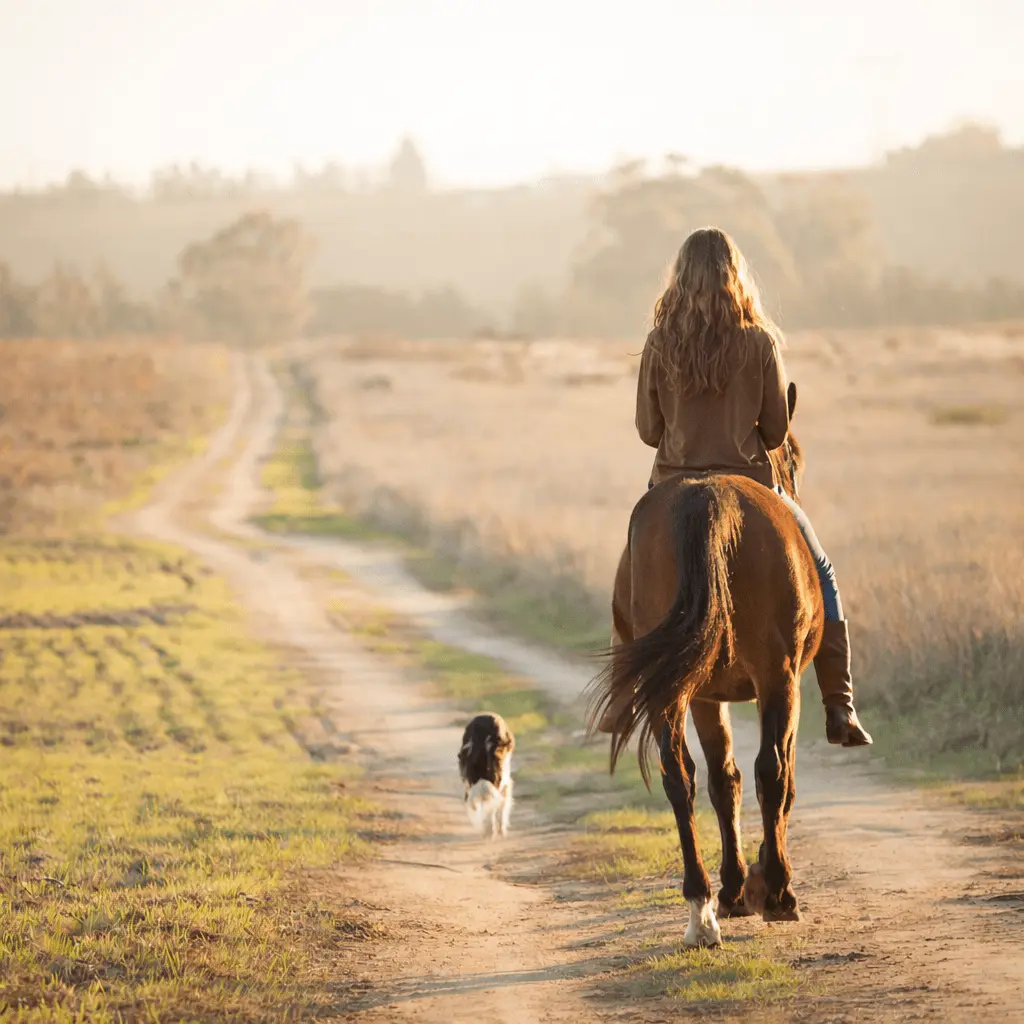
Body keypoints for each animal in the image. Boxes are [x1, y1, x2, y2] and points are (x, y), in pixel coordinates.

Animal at [587, 382, 814, 948]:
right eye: (795, 459)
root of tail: (709, 496)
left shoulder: (707, 695)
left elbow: (722, 779)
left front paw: (732, 891)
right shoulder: (783, 683)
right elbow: (775, 777)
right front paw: (758, 884)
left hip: (672, 690)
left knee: (680, 775)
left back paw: (701, 910)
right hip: (776, 676)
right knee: (771, 770)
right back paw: (779, 893)